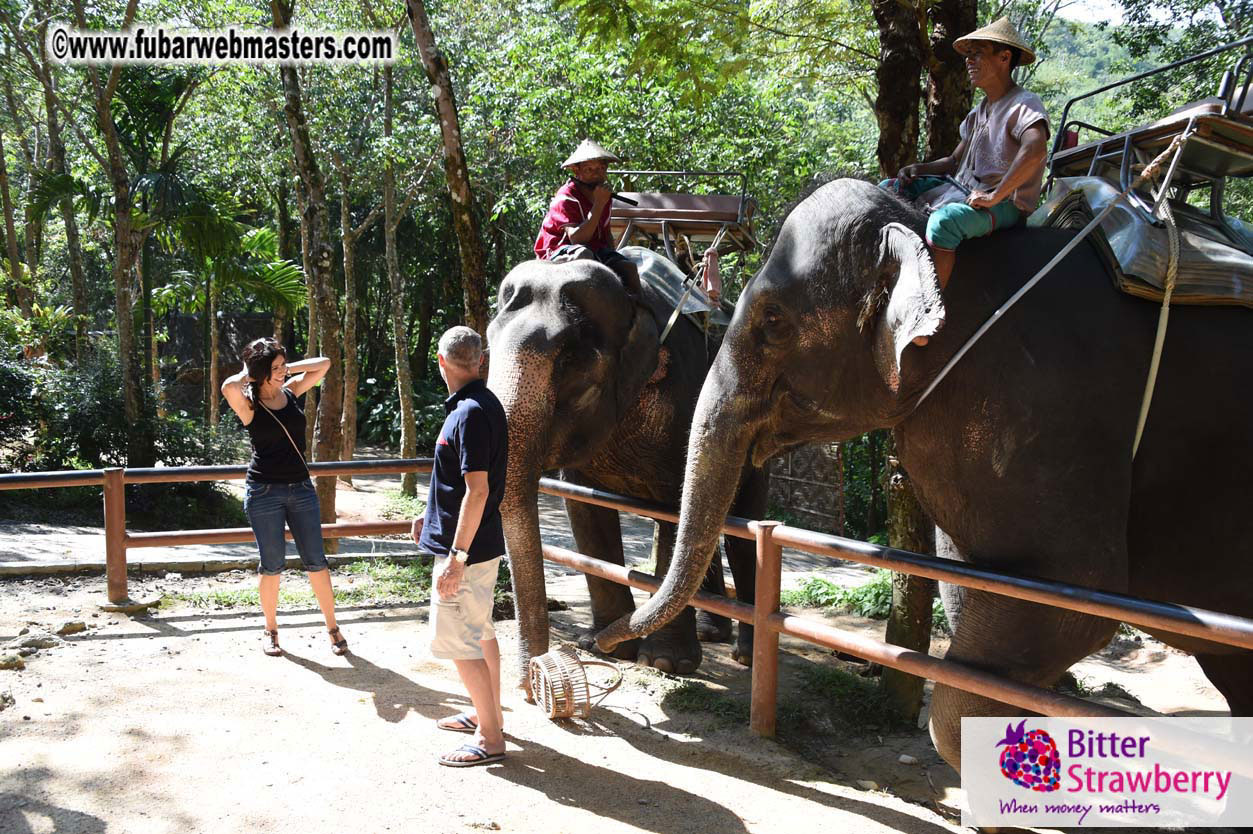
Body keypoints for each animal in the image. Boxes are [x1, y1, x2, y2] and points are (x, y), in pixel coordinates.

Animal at [485, 247, 767, 691]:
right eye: (487, 347)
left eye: (569, 360)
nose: (531, 681)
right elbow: (585, 511)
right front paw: (604, 647)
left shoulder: (684, 395)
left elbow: (676, 506)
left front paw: (666, 662)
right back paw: (711, 632)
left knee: (745, 524)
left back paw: (744, 656)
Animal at [595, 178, 1253, 772]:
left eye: (774, 321)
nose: (600, 645)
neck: (927, 234)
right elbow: (974, 585)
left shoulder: (1051, 406)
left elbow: (1066, 606)